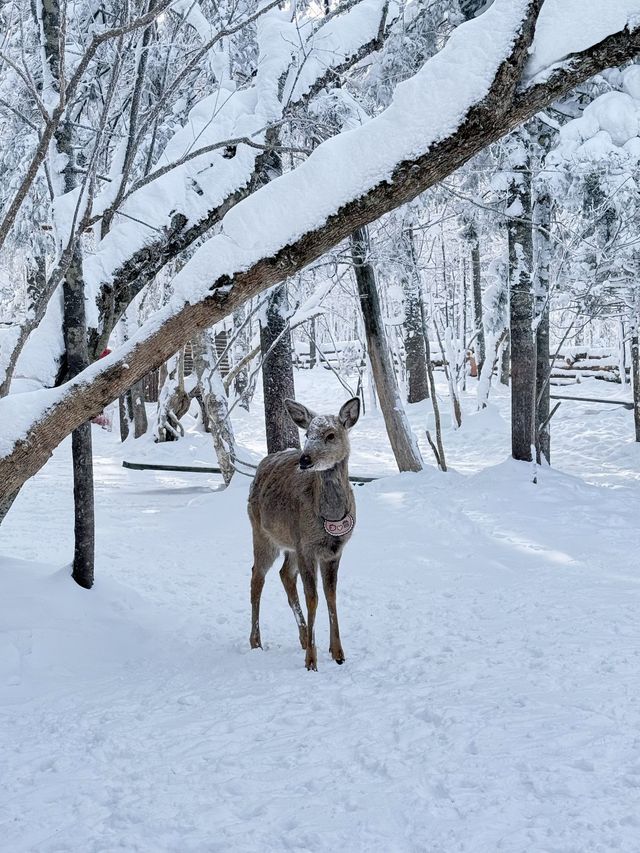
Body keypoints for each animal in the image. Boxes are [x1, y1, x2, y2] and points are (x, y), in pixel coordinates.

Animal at [249, 396, 360, 668]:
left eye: (330, 435)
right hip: (262, 532)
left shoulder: (333, 550)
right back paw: (256, 641)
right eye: (307, 433)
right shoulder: (307, 547)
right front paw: (312, 661)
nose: (305, 459)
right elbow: (313, 597)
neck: (330, 519)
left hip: (291, 542)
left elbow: (331, 595)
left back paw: (302, 638)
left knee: (285, 574)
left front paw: (337, 653)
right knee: (257, 576)